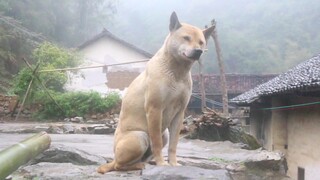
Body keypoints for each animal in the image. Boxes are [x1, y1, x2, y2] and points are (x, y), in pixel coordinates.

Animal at [97, 10, 212, 173]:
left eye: (201, 42)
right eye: (186, 38)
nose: (198, 51)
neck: (176, 72)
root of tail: (113, 158)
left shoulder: (180, 113)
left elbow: (174, 145)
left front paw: (173, 163)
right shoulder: (154, 109)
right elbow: (156, 142)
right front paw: (162, 163)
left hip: (164, 134)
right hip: (140, 136)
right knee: (120, 165)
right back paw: (140, 165)